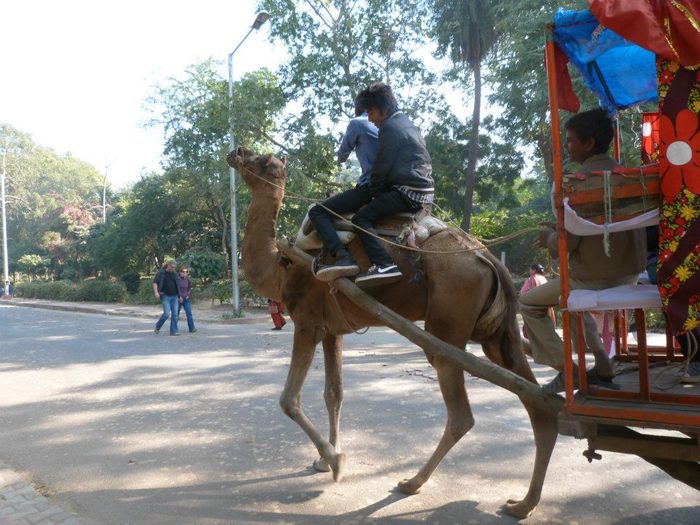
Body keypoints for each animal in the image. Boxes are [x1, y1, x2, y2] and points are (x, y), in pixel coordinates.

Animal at [227, 147, 559, 519]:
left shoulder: (307, 322)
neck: (282, 266)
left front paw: (336, 462)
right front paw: (324, 460)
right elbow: (333, 393)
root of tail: (490, 260)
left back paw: (411, 483)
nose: (237, 151)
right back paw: (523, 503)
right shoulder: (332, 329)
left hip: (446, 326)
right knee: (537, 402)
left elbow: (288, 399)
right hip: (499, 334)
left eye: (260, 160)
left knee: (461, 414)